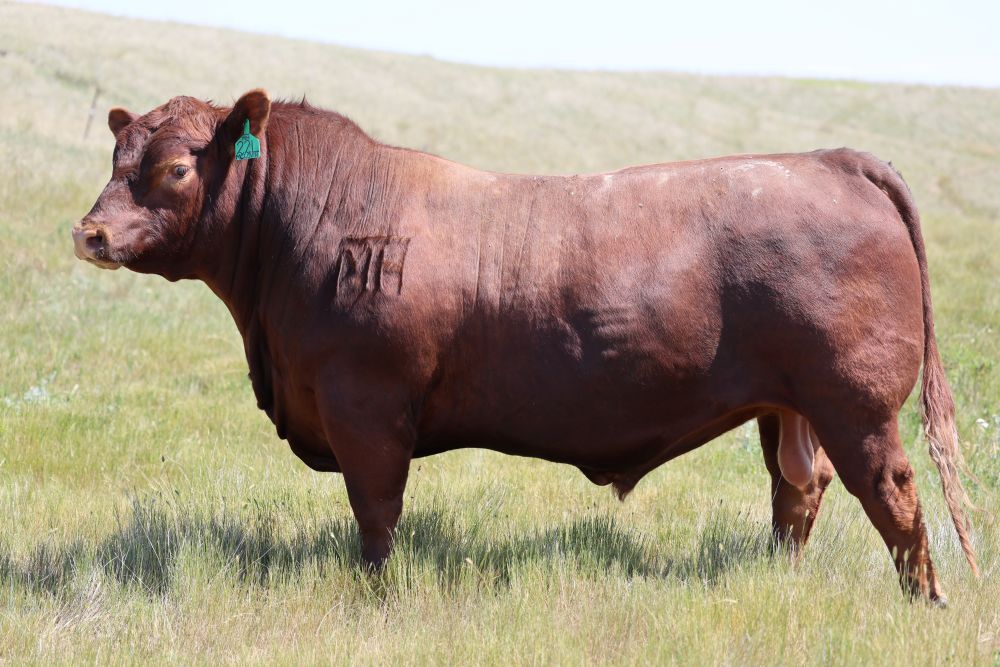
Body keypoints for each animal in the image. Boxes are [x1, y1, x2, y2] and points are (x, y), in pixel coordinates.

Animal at [72, 89, 977, 603]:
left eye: (177, 168)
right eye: (116, 155)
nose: (91, 232)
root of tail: (831, 159)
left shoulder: (366, 405)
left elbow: (376, 514)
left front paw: (374, 597)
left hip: (854, 400)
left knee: (891, 493)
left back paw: (924, 599)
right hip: (787, 405)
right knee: (799, 490)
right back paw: (776, 579)